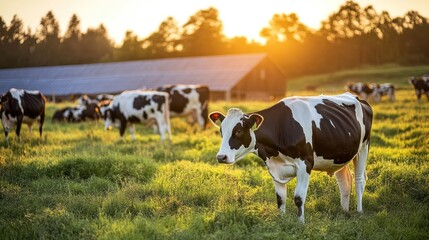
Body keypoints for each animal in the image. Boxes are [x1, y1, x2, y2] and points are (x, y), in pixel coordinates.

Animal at [207, 93, 372, 222]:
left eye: (239, 131)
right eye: (221, 131)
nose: (221, 157)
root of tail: (358, 98)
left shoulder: (306, 164)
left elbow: (298, 198)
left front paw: (300, 224)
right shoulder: (274, 167)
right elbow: (280, 199)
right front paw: (282, 220)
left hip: (364, 147)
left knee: (359, 180)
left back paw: (359, 212)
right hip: (339, 155)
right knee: (345, 181)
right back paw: (344, 211)